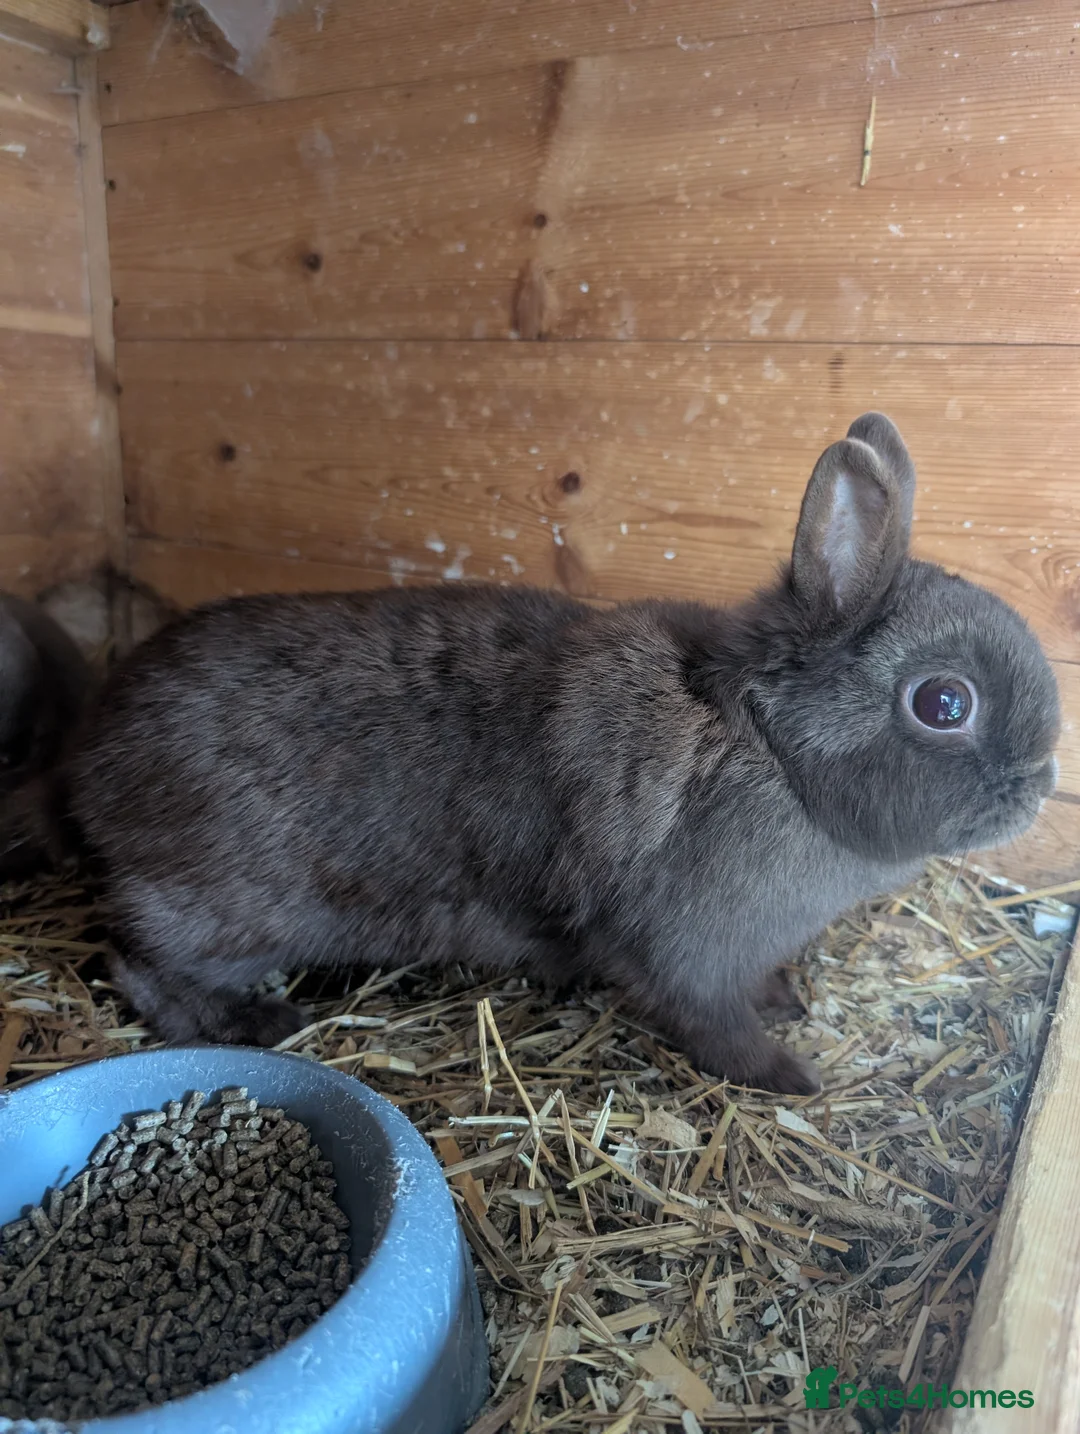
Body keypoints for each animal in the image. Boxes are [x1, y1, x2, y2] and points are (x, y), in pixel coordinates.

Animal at [67, 414, 1060, 1094]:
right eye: (943, 703)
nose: (1042, 784)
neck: (770, 750)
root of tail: (90, 756)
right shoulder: (684, 954)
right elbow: (711, 1022)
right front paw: (787, 1072)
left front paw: (784, 997)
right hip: (228, 909)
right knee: (135, 959)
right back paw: (253, 1018)